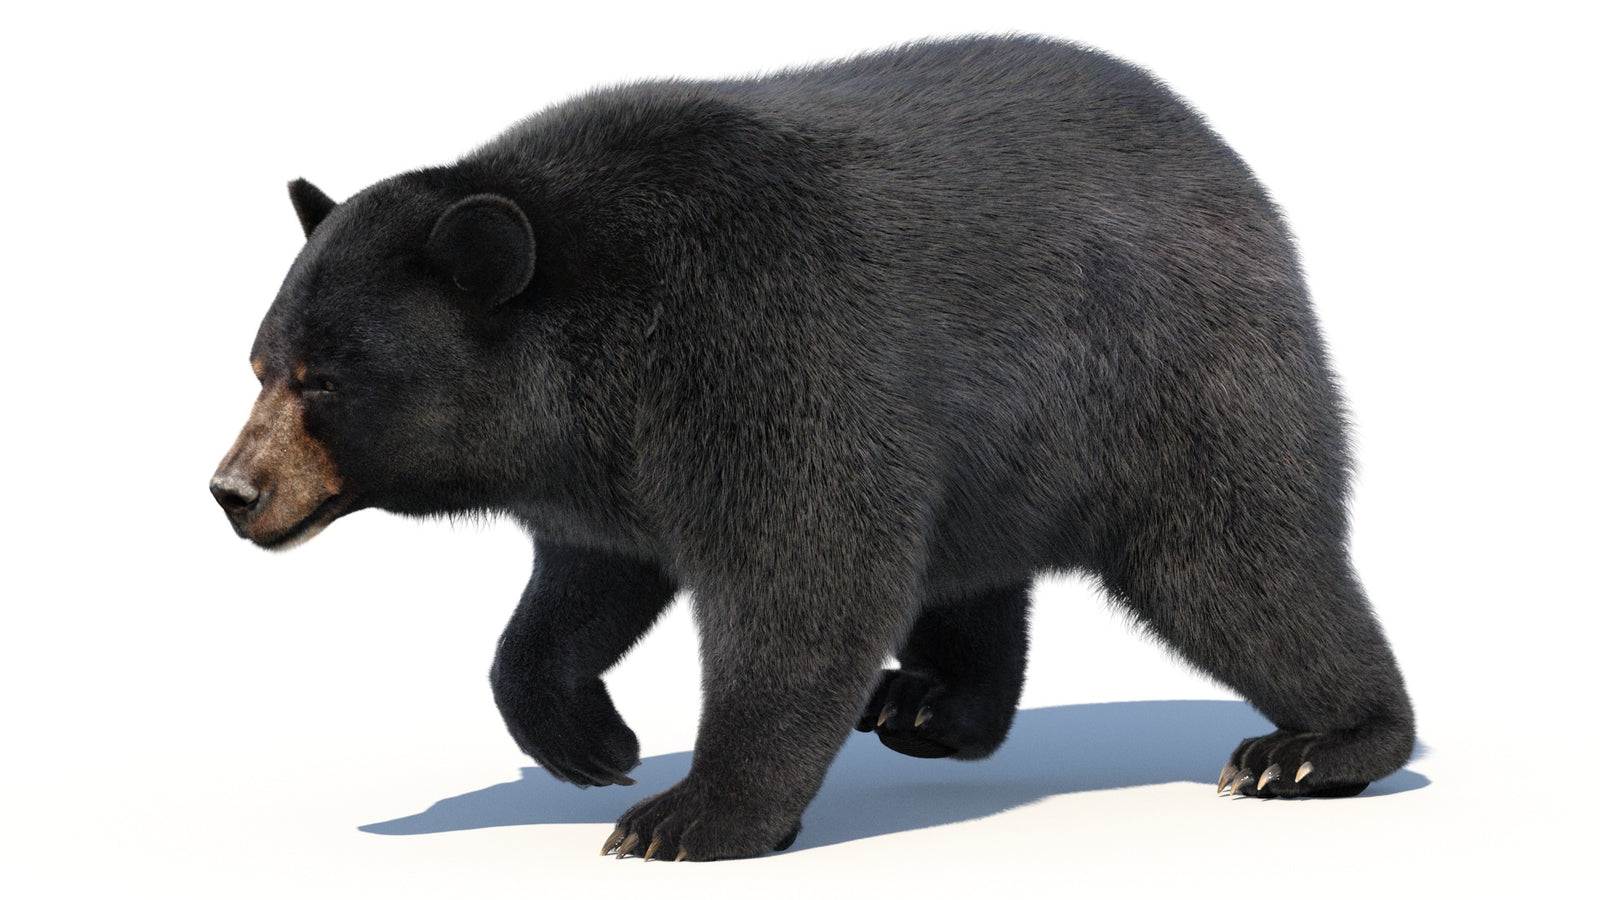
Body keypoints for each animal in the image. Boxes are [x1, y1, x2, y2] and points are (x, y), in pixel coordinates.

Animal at [210, 35, 1415, 861]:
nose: (234, 491)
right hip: (1001, 450)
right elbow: (584, 584)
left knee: (1240, 562)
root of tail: (1232, 170)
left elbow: (808, 573)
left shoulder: (764, 349)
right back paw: (931, 705)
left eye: (325, 378)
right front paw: (589, 740)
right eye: (259, 362)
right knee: (969, 569)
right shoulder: (604, 460)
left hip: (1170, 380)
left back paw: (1317, 743)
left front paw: (689, 815)